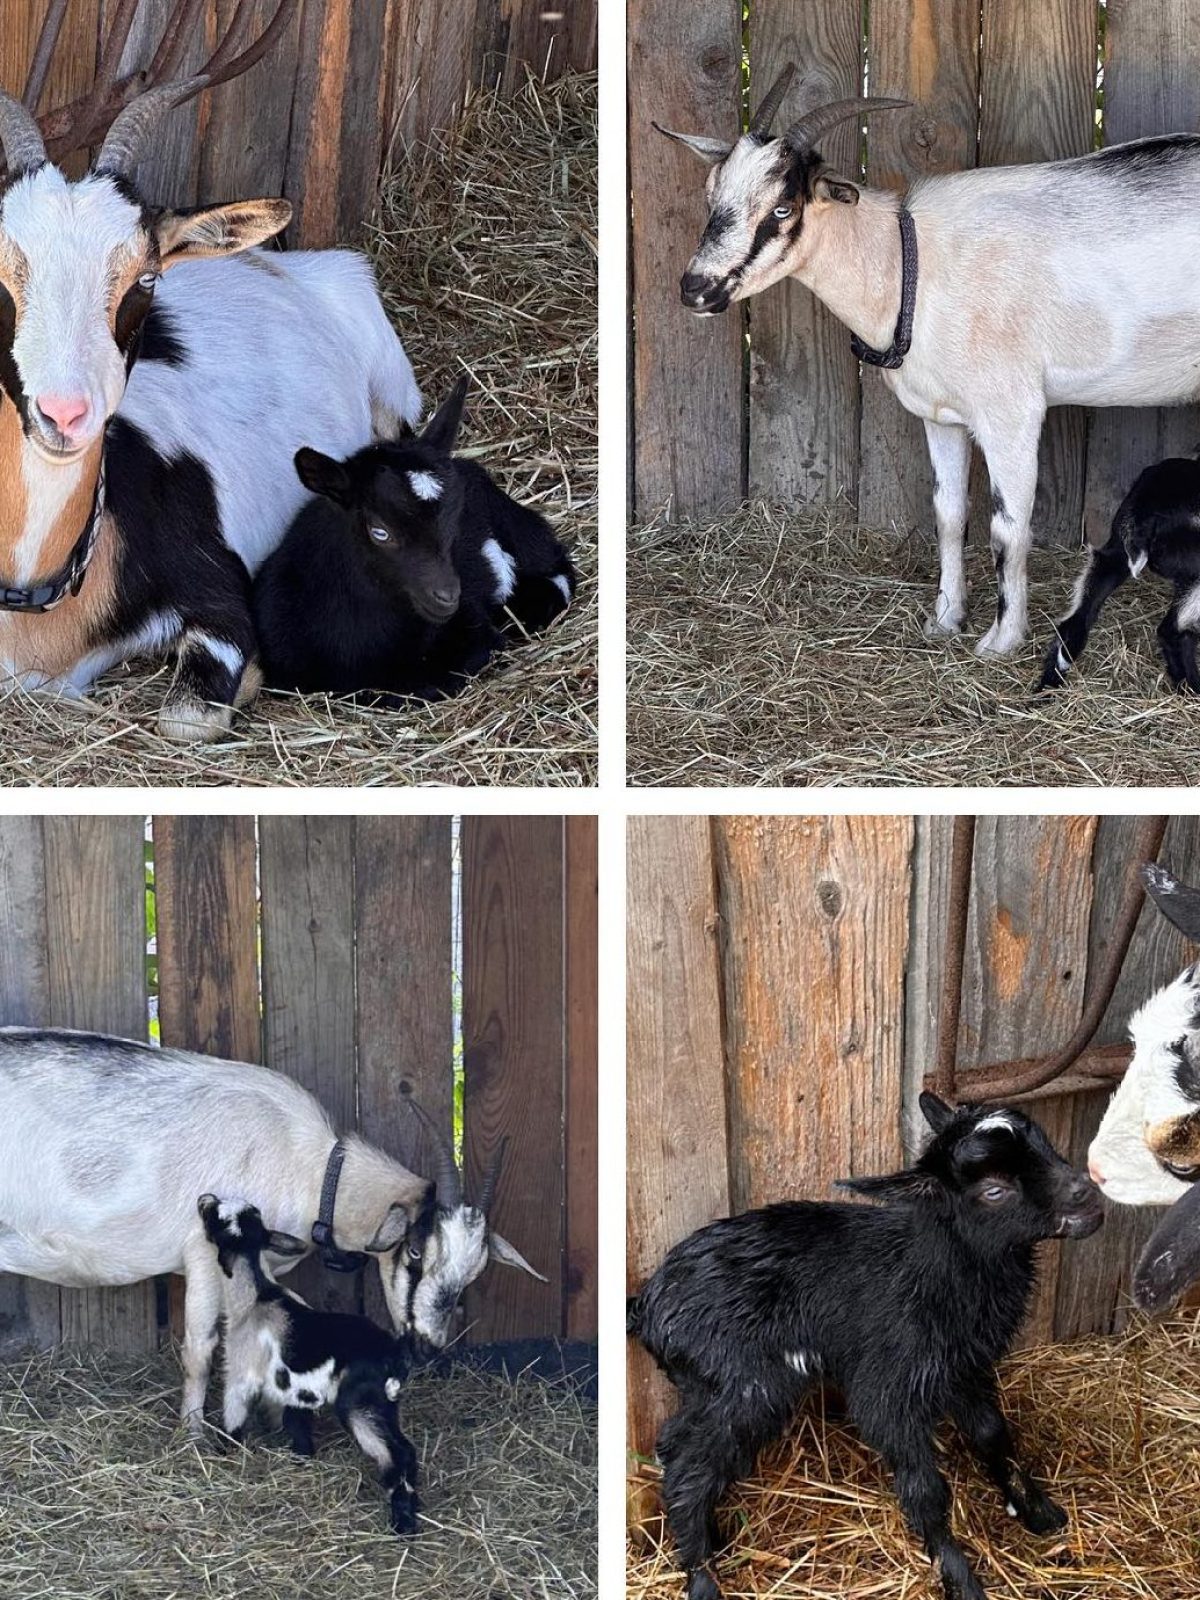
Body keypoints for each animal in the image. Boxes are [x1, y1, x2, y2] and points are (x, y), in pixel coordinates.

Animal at [0, 1028, 543, 1431]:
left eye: (474, 1271)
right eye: (413, 1251)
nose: (427, 1345)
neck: (311, 1169)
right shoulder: (203, 1252)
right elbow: (200, 1348)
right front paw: (193, 1433)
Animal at [198, 1195, 421, 1534]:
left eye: (216, 1217)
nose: (204, 1199)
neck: (256, 1296)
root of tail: (394, 1352)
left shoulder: (242, 1373)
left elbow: (234, 1415)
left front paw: (224, 1451)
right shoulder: (293, 1390)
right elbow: (295, 1423)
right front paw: (302, 1456)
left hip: (357, 1403)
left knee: (392, 1455)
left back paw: (402, 1523)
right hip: (385, 1403)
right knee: (406, 1449)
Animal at [628, 1094, 1103, 1600]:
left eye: (1043, 1142)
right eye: (994, 1191)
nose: (1087, 1193)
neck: (941, 1272)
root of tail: (649, 1305)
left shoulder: (961, 1368)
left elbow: (992, 1432)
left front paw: (1038, 1511)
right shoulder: (889, 1386)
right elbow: (923, 1485)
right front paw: (960, 1577)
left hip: (709, 1385)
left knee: (674, 1443)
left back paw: (711, 1539)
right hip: (744, 1382)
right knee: (689, 1467)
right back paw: (702, 1576)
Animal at [657, 64, 1200, 658]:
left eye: (783, 208)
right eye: (712, 195)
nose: (696, 289)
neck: (908, 264)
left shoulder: (1012, 412)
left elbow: (1009, 527)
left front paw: (1001, 639)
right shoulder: (942, 416)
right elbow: (948, 514)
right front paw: (945, 619)